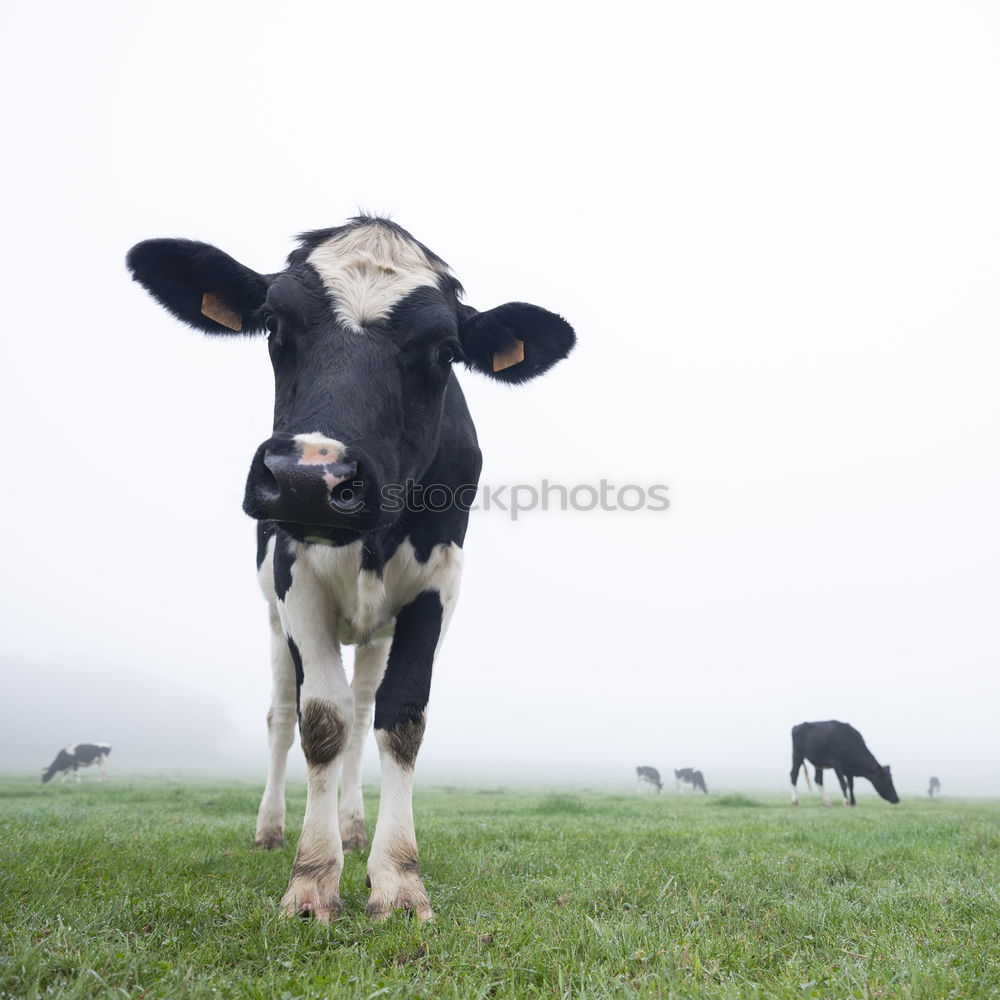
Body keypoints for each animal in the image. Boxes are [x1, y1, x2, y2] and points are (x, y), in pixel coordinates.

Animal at [127, 217, 580, 920]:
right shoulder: (297, 579)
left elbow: (400, 718)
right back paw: (271, 829)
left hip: (374, 631)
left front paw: (395, 875)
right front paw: (313, 877)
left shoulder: (438, 584)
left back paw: (353, 824)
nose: (310, 479)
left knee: (364, 711)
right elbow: (320, 720)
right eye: (273, 323)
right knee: (284, 717)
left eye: (445, 350)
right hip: (273, 621)